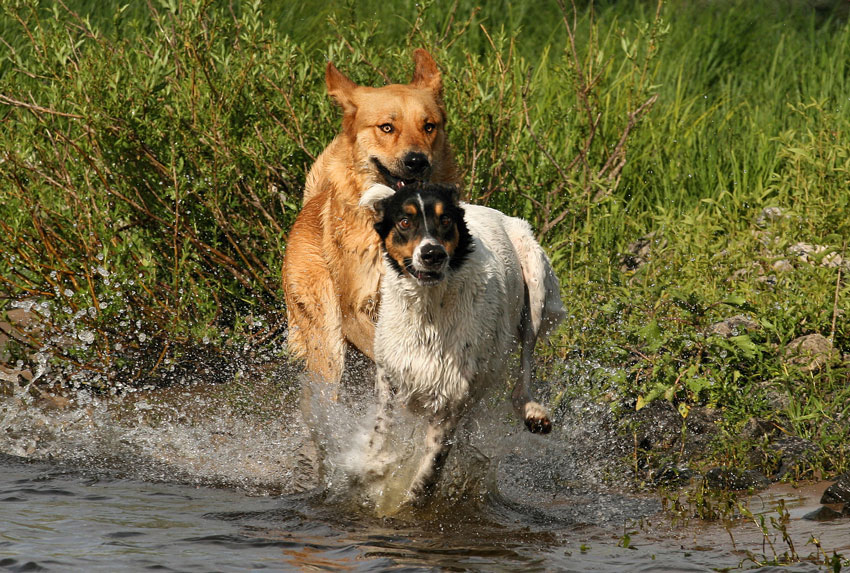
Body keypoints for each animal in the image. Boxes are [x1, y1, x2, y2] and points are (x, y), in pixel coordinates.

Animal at [284, 50, 458, 388]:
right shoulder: (355, 313)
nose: (416, 161)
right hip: (327, 346)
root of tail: (310, 203)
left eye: (429, 126)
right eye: (387, 127)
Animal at [358, 181, 564, 498]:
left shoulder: (454, 394)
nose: (432, 253)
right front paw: (374, 466)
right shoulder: (390, 371)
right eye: (404, 221)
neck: (431, 308)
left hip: (536, 286)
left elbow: (430, 468)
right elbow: (383, 427)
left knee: (525, 365)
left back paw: (531, 410)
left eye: (445, 220)